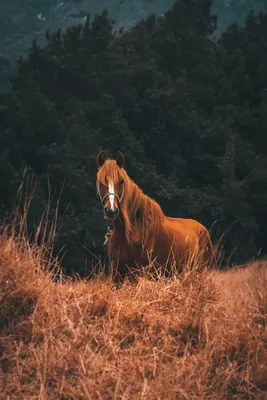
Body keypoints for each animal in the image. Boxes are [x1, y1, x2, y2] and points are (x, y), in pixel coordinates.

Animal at [96, 150, 214, 278]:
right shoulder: (117, 275)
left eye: (121, 181)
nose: (111, 210)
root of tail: (204, 230)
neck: (131, 232)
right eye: (100, 182)